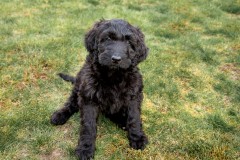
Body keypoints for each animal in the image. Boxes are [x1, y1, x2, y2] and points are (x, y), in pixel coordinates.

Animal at [50, 18, 148, 159]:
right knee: (71, 103)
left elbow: (134, 117)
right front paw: (85, 149)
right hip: (78, 86)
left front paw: (137, 137)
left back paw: (123, 122)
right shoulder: (88, 97)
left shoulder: (134, 95)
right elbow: (88, 125)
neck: (113, 75)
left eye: (129, 42)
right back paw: (59, 115)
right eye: (108, 38)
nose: (116, 59)